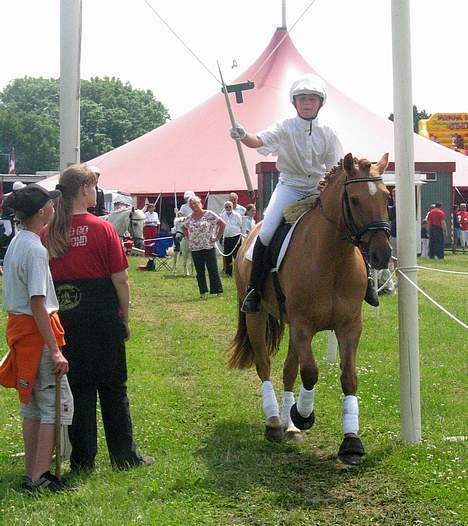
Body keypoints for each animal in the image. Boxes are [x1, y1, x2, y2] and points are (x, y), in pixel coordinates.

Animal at [230, 153, 392, 466]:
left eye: (386, 197)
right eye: (354, 200)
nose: (382, 254)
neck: (332, 258)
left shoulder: (349, 325)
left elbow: (348, 377)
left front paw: (351, 442)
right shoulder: (303, 324)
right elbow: (310, 372)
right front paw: (303, 415)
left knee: (287, 371)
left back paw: (288, 425)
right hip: (257, 317)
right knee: (264, 366)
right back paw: (274, 421)